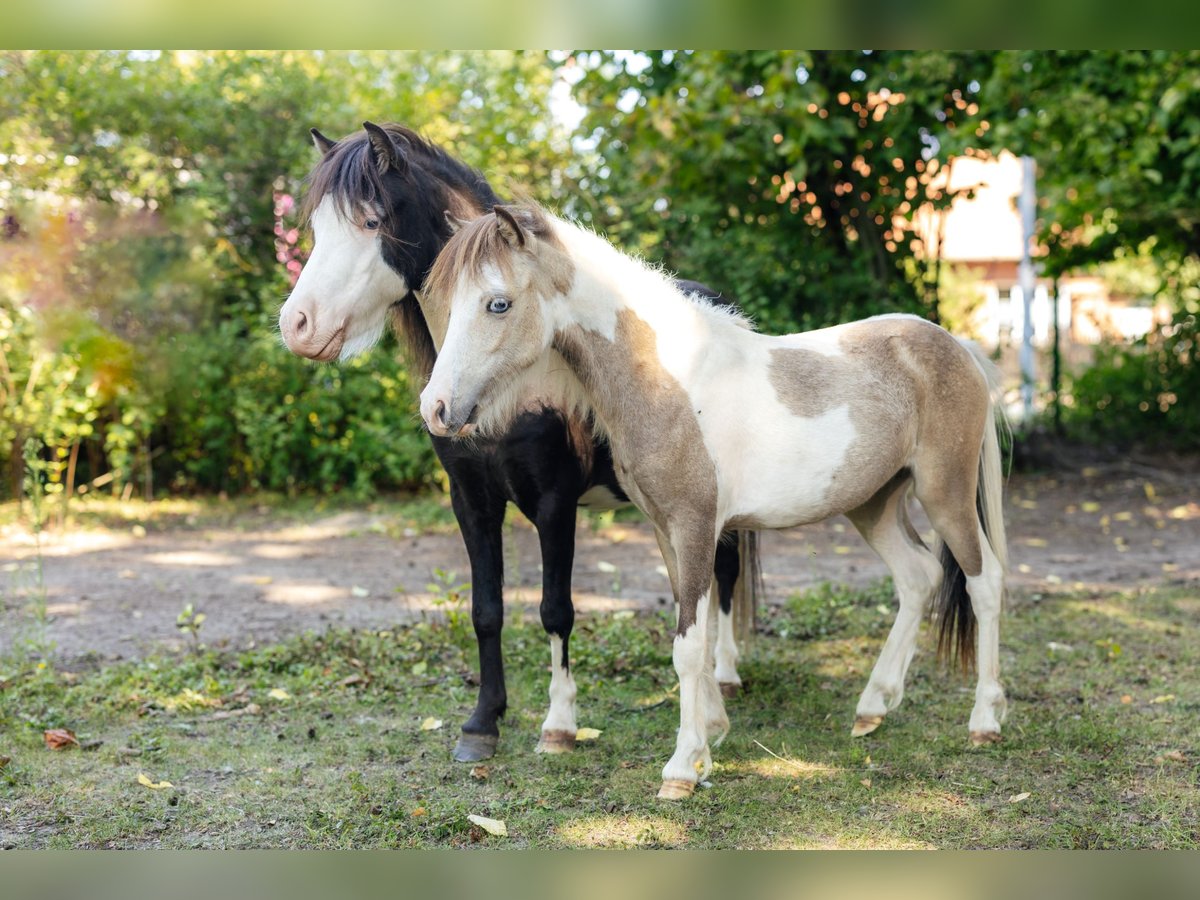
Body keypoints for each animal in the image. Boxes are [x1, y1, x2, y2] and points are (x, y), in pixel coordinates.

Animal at [277, 123, 761, 763]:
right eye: (316, 226)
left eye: (372, 220)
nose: (297, 325)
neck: (509, 386)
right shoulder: (471, 500)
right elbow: (487, 610)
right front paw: (483, 723)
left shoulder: (554, 505)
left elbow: (555, 610)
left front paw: (559, 723)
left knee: (725, 570)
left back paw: (725, 673)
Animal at [420, 204, 1010, 800]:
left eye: (497, 303)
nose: (435, 408)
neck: (671, 382)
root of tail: (958, 349)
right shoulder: (667, 532)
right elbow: (698, 641)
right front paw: (711, 738)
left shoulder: (695, 526)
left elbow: (687, 645)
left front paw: (682, 769)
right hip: (874, 503)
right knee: (916, 577)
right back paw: (872, 708)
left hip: (945, 493)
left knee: (984, 582)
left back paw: (984, 721)